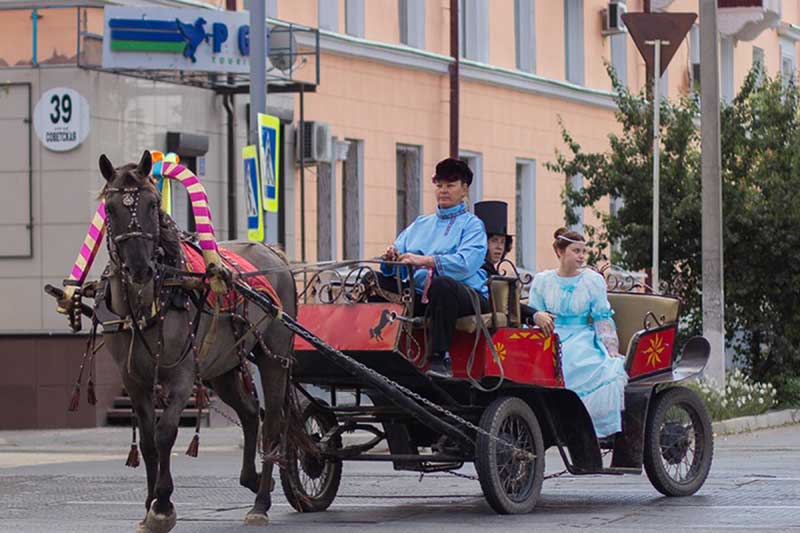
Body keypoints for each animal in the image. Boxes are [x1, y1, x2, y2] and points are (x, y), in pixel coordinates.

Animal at [97, 152, 304, 528]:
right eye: (110, 207)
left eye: (152, 204)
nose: (139, 269)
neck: (152, 300)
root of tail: (273, 252)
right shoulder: (133, 379)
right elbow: (147, 441)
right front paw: (148, 506)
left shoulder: (181, 375)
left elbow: (165, 433)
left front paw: (163, 505)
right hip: (222, 367)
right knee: (250, 414)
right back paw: (251, 480)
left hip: (274, 358)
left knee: (272, 422)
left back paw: (261, 502)